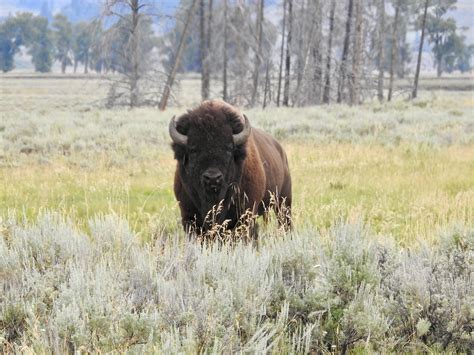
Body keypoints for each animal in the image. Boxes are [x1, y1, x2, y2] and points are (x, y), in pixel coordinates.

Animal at [168, 99, 290, 236]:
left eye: (228, 148)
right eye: (193, 150)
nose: (213, 178)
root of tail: (280, 150)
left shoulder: (245, 214)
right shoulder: (188, 217)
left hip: (284, 202)